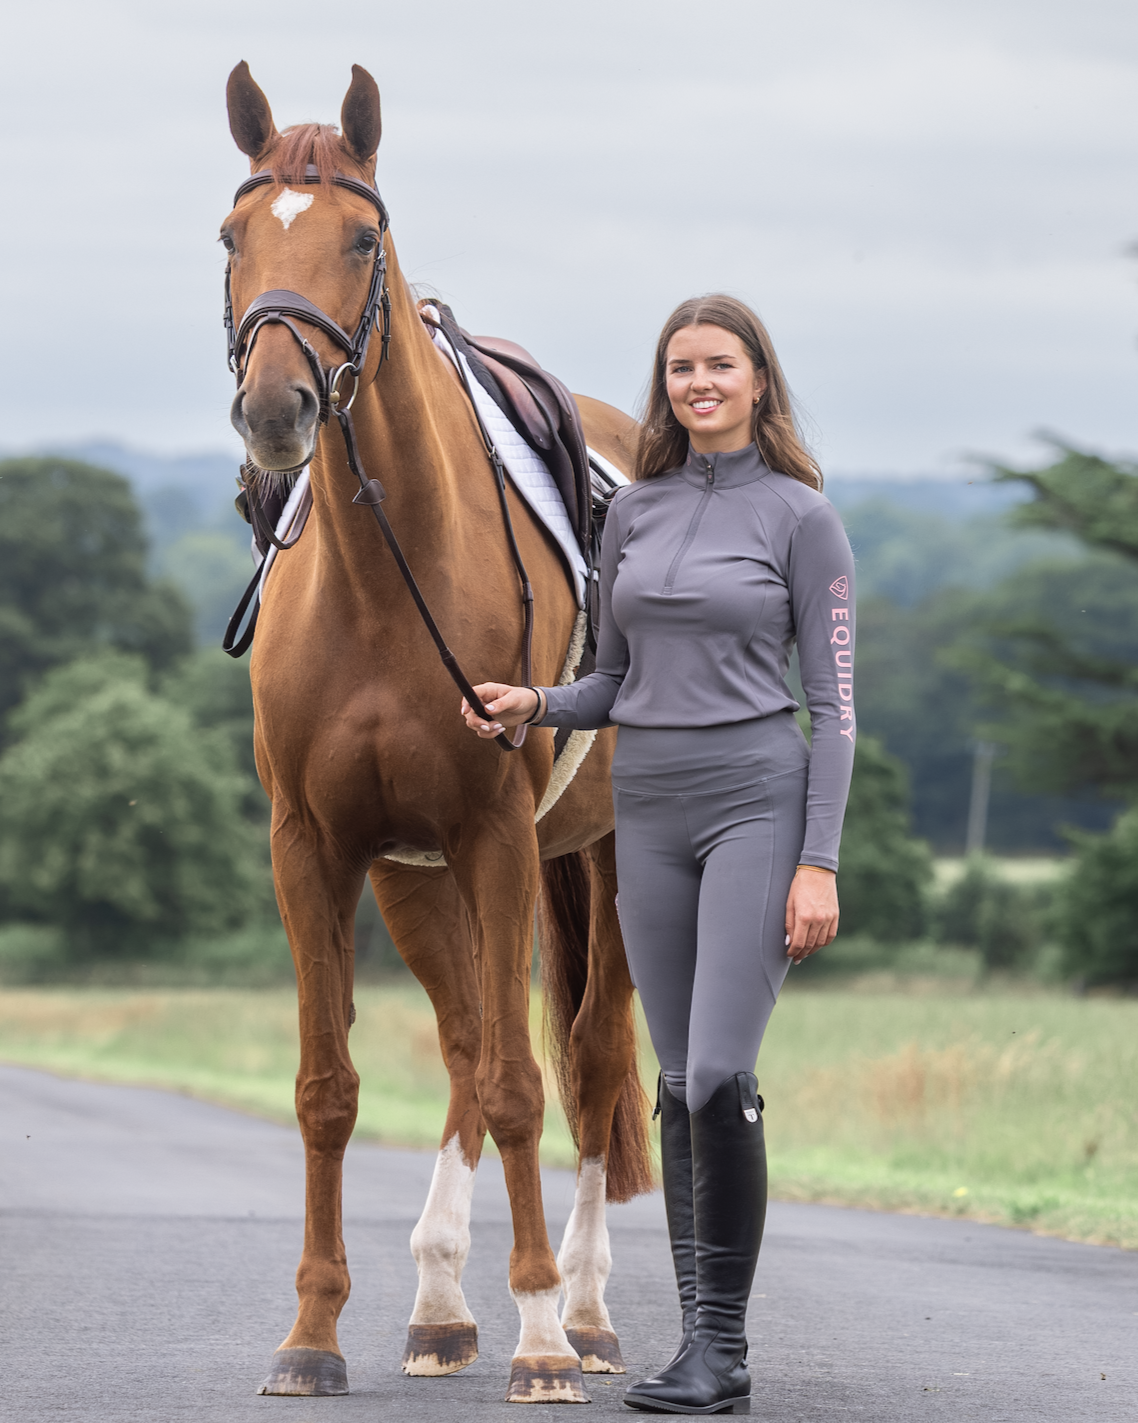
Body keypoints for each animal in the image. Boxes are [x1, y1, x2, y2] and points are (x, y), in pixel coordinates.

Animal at [220, 61, 653, 1403]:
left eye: (361, 239)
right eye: (233, 237)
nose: (276, 410)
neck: (381, 573)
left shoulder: (497, 833)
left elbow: (523, 1082)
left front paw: (542, 1338)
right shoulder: (314, 846)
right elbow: (329, 1087)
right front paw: (313, 1333)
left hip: (602, 861)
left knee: (584, 1060)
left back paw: (582, 1310)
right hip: (417, 875)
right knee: (466, 1042)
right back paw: (440, 1305)